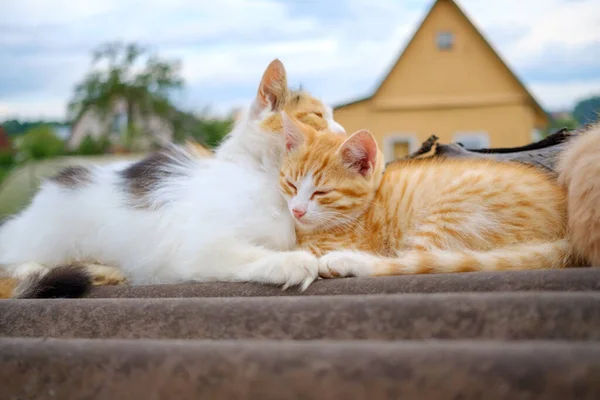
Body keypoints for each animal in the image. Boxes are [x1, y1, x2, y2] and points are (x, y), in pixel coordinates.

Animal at [0, 59, 344, 296]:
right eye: (317, 116)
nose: (342, 131)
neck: (262, 175)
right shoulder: (198, 245)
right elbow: (249, 253)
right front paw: (292, 262)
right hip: (45, 237)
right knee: (18, 265)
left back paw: (105, 272)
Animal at [278, 111, 580, 276]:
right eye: (291, 185)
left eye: (322, 192)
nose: (297, 210)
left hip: (451, 214)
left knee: (414, 260)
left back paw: (344, 261)